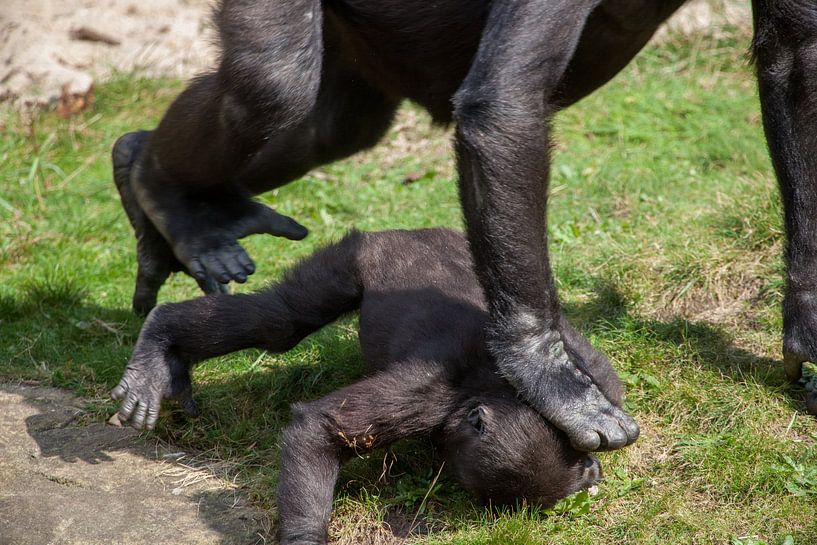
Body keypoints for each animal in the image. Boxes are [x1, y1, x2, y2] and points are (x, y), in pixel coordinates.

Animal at [111, 0, 817, 451]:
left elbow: (796, 58)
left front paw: (808, 318)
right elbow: (505, 107)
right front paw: (546, 372)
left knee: (332, 124)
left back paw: (163, 188)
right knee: (272, 82)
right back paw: (159, 190)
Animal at [112, 228, 625, 543]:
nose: (442, 453)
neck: (506, 391)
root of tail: (411, 231)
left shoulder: (599, 384)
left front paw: (589, 472)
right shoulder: (426, 394)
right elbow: (321, 428)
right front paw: (304, 536)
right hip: (355, 256)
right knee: (280, 319)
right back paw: (160, 340)